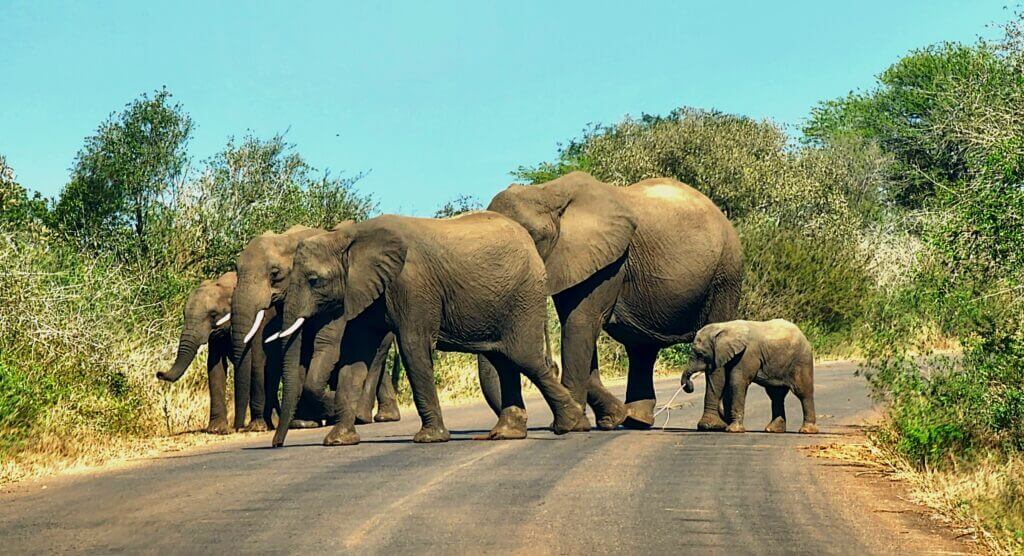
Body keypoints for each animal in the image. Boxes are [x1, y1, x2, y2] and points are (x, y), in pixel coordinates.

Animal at [230, 225, 400, 430]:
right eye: (236, 271)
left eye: (275, 273)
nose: (238, 427)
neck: (287, 239)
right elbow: (301, 352)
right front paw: (303, 423)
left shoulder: (333, 301)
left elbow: (326, 345)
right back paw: (382, 416)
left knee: (376, 356)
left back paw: (364, 416)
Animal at [269, 213, 585, 448]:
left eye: (314, 280)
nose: (276, 444)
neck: (350, 235)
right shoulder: (365, 291)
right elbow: (354, 358)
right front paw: (337, 441)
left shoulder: (411, 285)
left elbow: (413, 347)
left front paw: (429, 439)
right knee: (504, 360)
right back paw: (508, 434)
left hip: (524, 296)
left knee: (525, 358)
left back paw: (570, 425)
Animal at [481, 171, 743, 431]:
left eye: (529, 239)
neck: (548, 192)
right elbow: (577, 327)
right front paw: (611, 419)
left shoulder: (609, 262)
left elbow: (580, 324)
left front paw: (574, 427)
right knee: (641, 348)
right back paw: (636, 420)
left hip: (725, 275)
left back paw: (710, 425)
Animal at [680, 319, 818, 434]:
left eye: (700, 354)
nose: (690, 386)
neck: (724, 327)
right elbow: (719, 381)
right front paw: (712, 426)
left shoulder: (747, 353)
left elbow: (736, 382)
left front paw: (732, 430)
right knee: (776, 395)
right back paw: (772, 430)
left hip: (802, 359)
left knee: (802, 391)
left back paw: (806, 431)